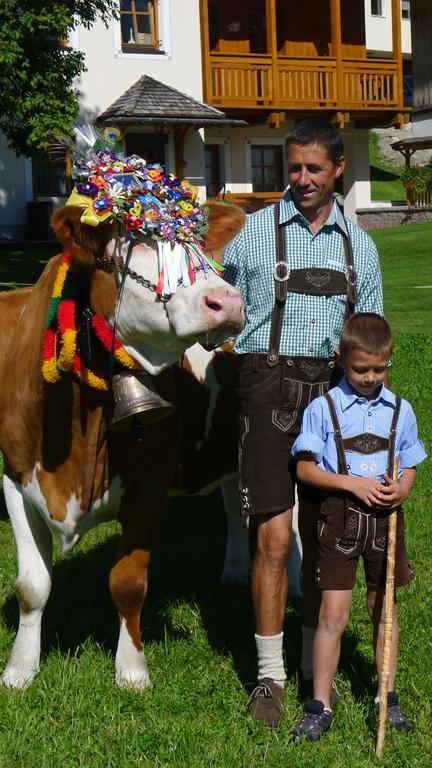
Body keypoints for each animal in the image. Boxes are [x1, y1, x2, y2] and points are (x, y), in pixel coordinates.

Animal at [0, 198, 246, 688]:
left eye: (198, 244)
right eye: (140, 244)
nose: (227, 301)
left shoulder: (150, 483)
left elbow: (128, 584)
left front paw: (131, 670)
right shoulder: (15, 478)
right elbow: (31, 586)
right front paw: (19, 668)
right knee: (234, 500)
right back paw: (234, 570)